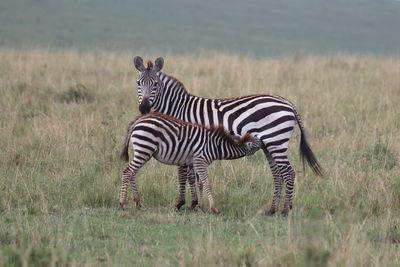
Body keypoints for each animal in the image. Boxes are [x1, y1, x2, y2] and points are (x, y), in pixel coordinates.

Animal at [119, 112, 262, 215]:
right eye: (258, 143)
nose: (264, 141)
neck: (215, 146)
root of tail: (139, 120)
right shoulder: (200, 161)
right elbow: (207, 183)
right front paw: (214, 209)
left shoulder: (194, 162)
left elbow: (198, 183)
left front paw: (200, 206)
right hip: (145, 148)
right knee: (127, 171)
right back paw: (122, 203)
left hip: (143, 151)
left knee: (132, 173)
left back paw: (137, 202)